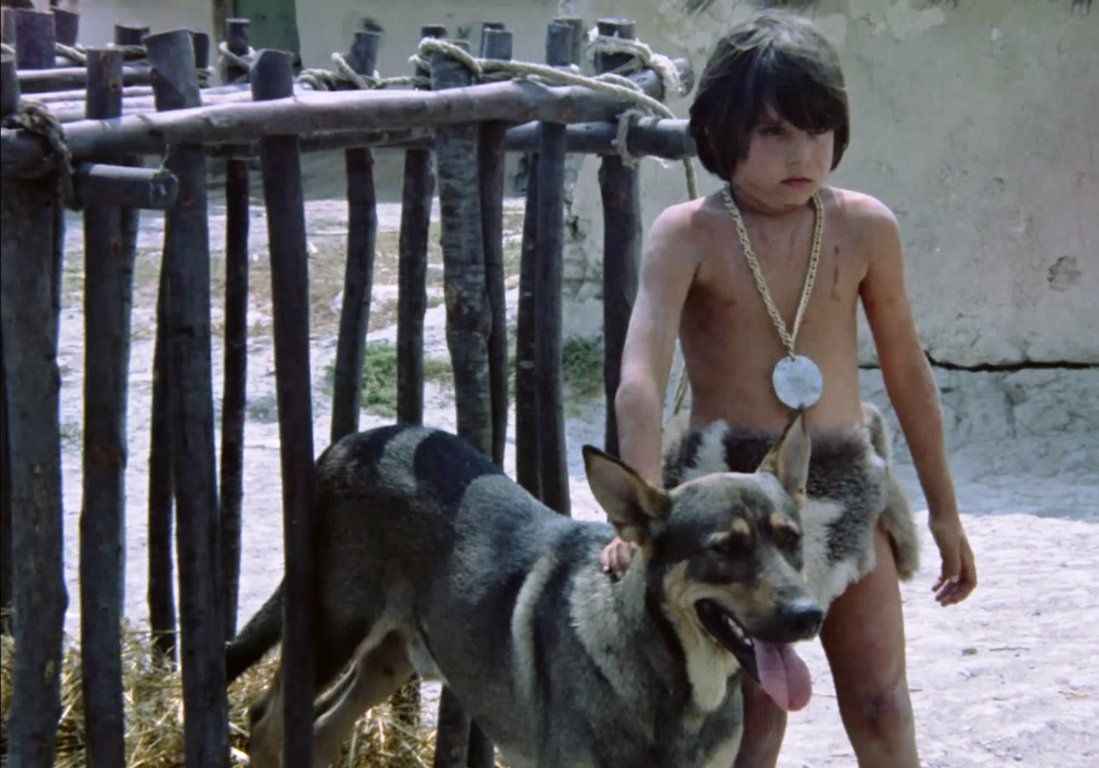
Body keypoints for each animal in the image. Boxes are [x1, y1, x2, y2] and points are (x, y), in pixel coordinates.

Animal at [227, 415, 824, 767]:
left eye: (791, 539)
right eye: (725, 548)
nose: (809, 615)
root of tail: (351, 442)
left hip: (388, 662)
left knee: (321, 730)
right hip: (331, 630)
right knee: (266, 722)